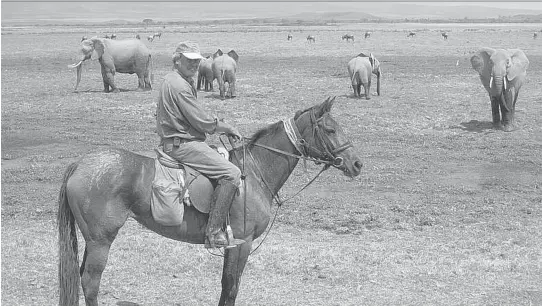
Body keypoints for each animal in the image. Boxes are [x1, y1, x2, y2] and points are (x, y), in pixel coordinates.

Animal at [58, 97, 366, 306]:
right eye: (330, 129)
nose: (357, 163)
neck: (255, 173)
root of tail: (80, 164)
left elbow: (226, 287)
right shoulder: (241, 243)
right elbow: (230, 288)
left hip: (93, 241)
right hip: (101, 240)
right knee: (90, 282)